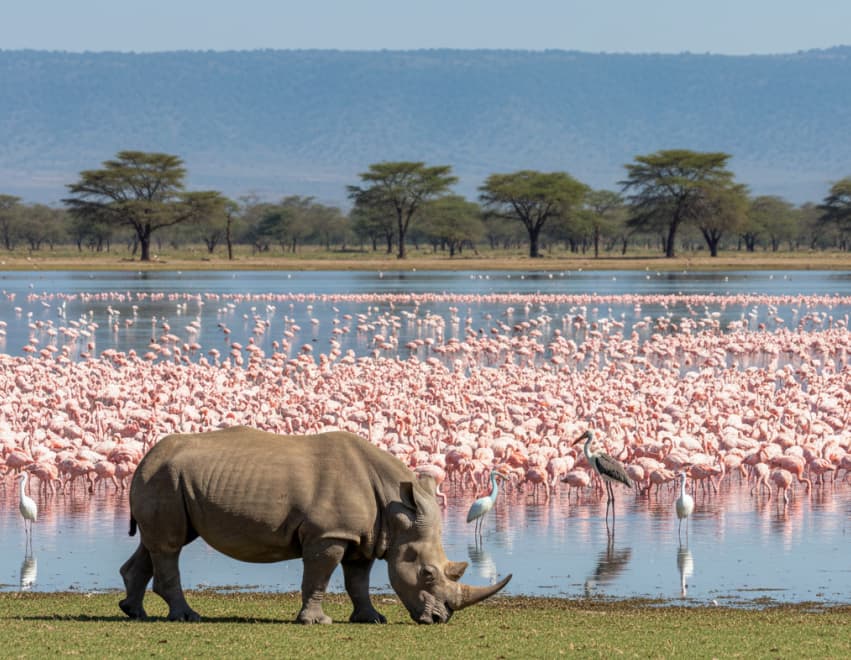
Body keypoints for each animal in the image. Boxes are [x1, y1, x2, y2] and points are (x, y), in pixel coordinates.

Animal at [119, 426, 511, 624]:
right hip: (165, 478)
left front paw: (372, 619)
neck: (397, 511)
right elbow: (319, 577)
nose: (441, 619)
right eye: (427, 574)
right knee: (169, 546)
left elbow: (358, 581)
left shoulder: (364, 536)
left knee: (157, 543)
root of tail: (145, 458)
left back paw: (134, 612)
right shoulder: (329, 534)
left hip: (167, 478)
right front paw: (315, 621)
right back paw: (187, 617)